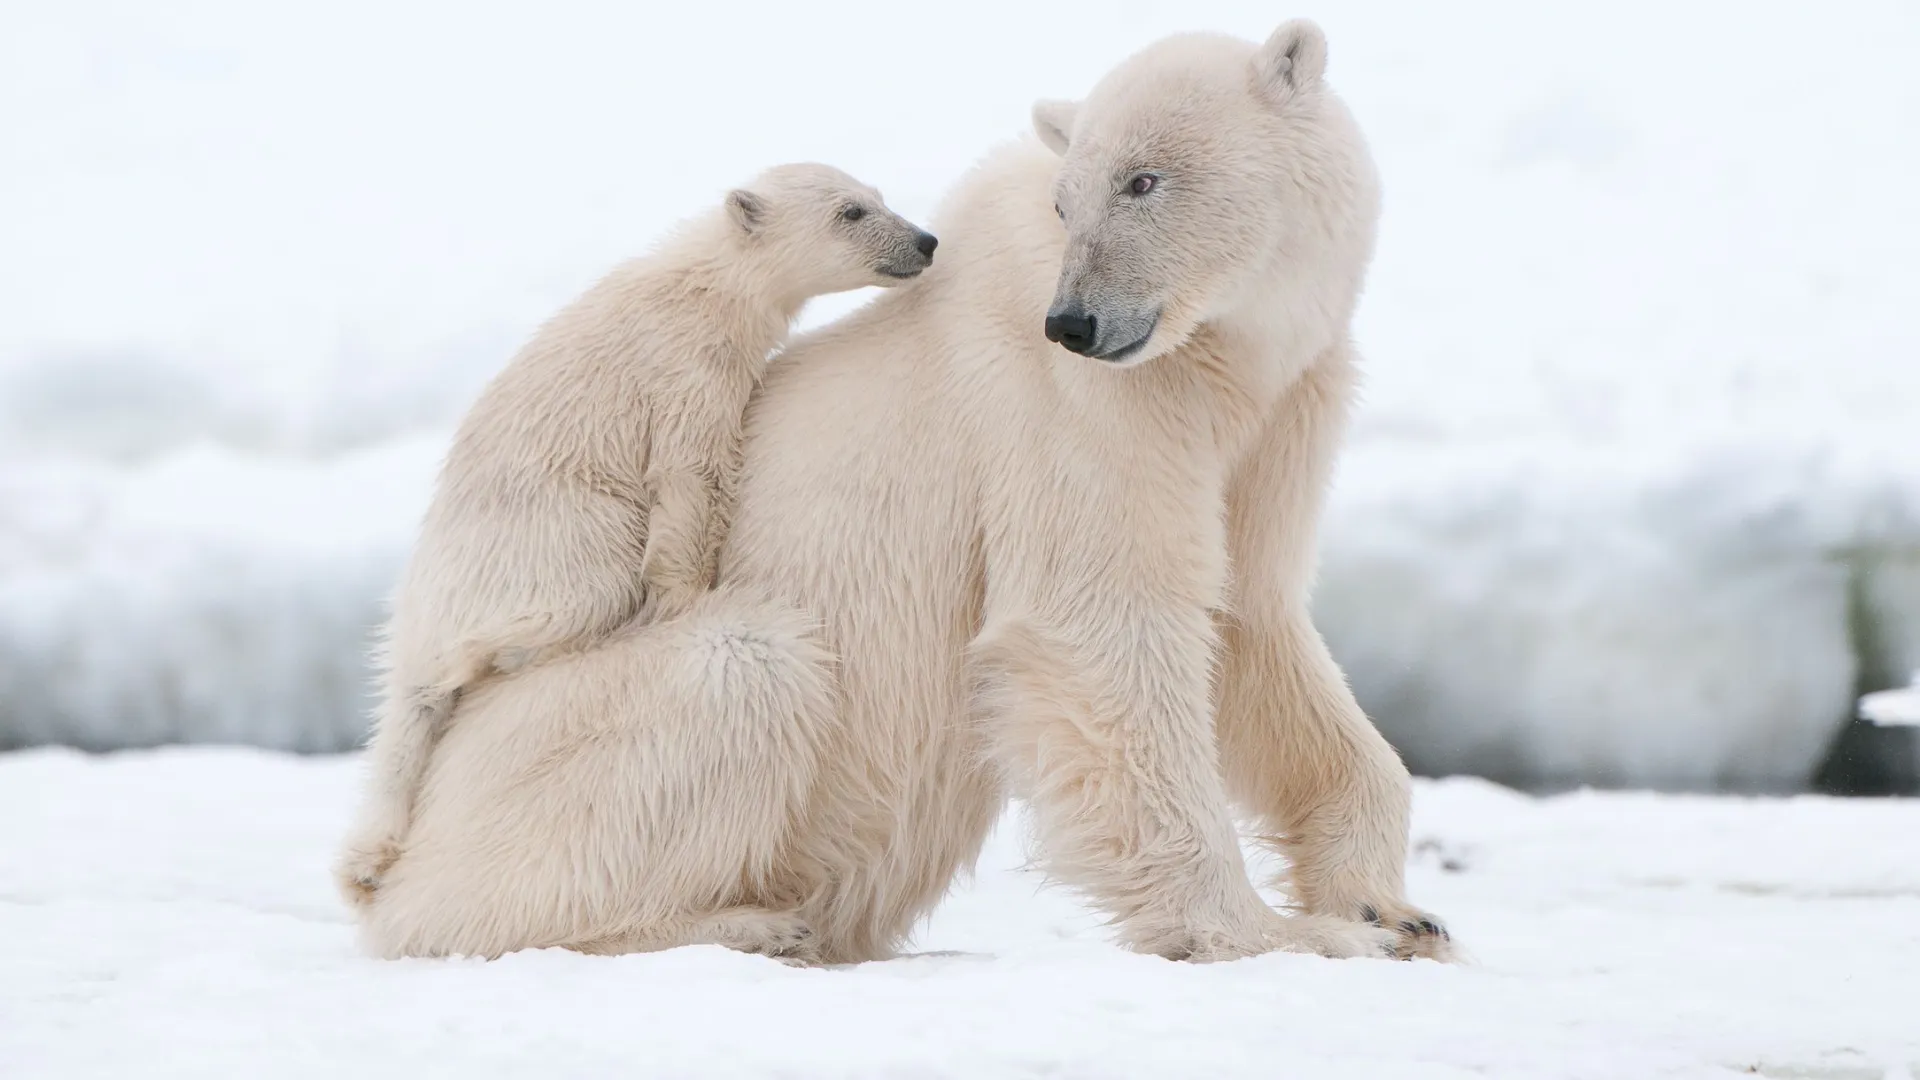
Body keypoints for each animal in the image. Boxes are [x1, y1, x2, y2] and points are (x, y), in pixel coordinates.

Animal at [336, 166, 936, 907]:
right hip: (553, 537)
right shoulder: (686, 369)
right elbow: (690, 474)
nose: (925, 240)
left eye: (879, 197)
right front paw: (687, 595)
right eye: (850, 212)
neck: (705, 284)